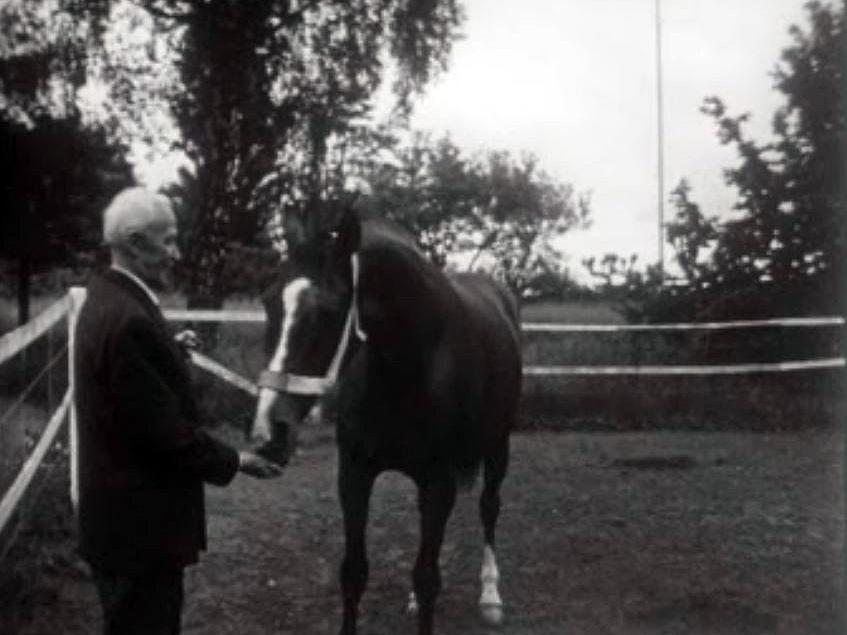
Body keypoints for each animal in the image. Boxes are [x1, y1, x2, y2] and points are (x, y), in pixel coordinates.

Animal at [248, 206, 520, 632]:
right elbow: (354, 573)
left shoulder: (438, 481)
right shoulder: (355, 474)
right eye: (268, 301)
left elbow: (427, 578)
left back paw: (491, 595)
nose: (267, 433)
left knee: (489, 507)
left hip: (498, 446)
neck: (407, 366)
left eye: (329, 310)